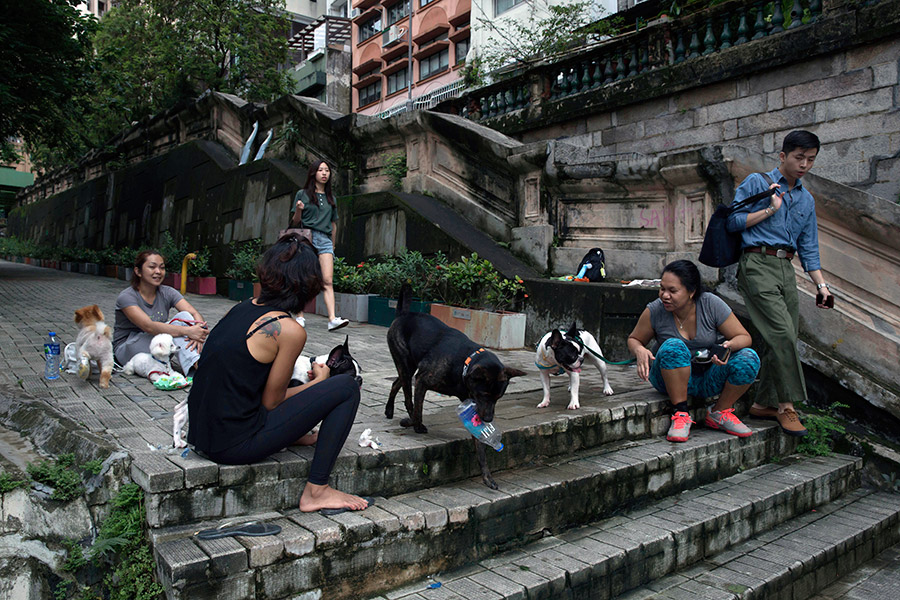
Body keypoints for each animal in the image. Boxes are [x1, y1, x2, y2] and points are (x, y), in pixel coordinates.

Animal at [384, 286, 524, 488]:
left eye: (498, 398)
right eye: (484, 395)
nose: (488, 419)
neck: (463, 364)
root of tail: (404, 314)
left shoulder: (472, 406)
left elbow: (480, 446)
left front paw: (487, 476)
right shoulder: (422, 380)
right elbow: (417, 411)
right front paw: (412, 423)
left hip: (408, 368)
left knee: (397, 383)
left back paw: (389, 409)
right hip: (405, 363)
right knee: (408, 396)